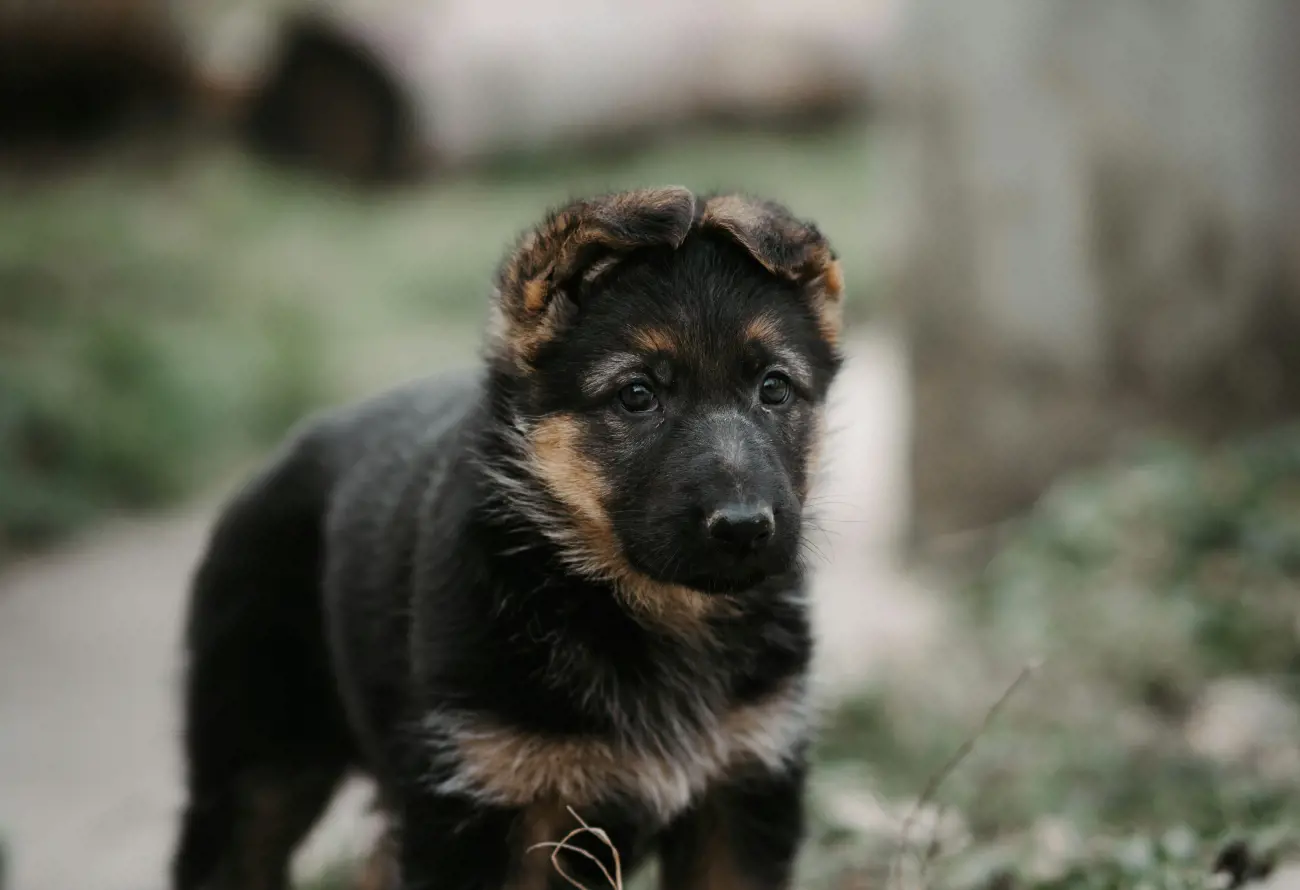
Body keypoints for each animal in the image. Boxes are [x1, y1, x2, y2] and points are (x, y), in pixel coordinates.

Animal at [172, 187, 842, 888]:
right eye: (637, 396)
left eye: (774, 388)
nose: (744, 527)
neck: (647, 610)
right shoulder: (480, 802)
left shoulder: (744, 785)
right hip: (253, 776)